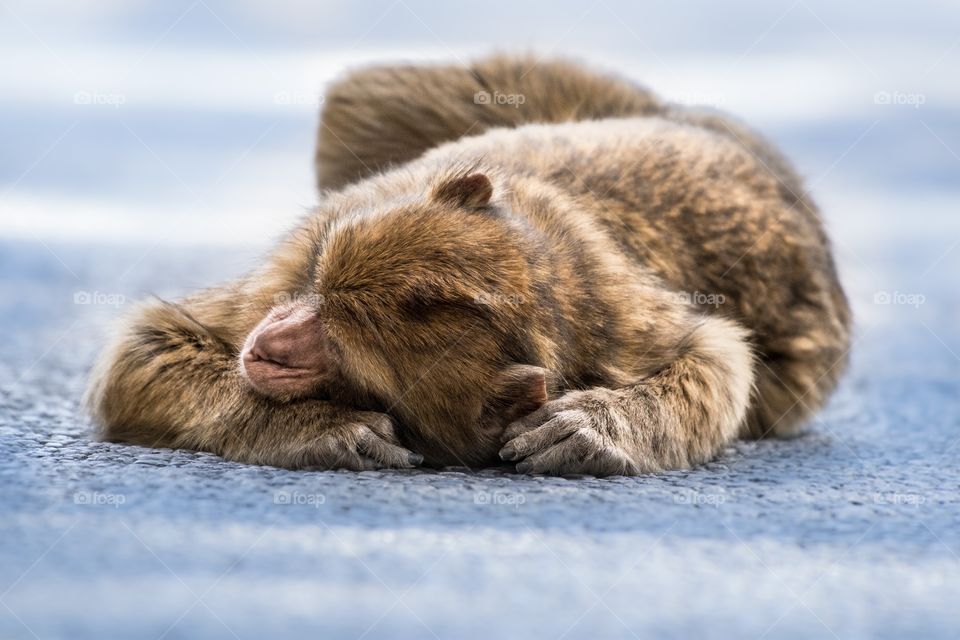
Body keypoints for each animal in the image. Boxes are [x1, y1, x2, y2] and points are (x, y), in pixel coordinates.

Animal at [86, 55, 852, 476]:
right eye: (318, 292)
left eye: (337, 354)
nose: (270, 345)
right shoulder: (297, 260)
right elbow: (142, 352)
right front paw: (315, 430)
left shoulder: (612, 320)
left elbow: (718, 357)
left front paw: (592, 432)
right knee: (367, 97)